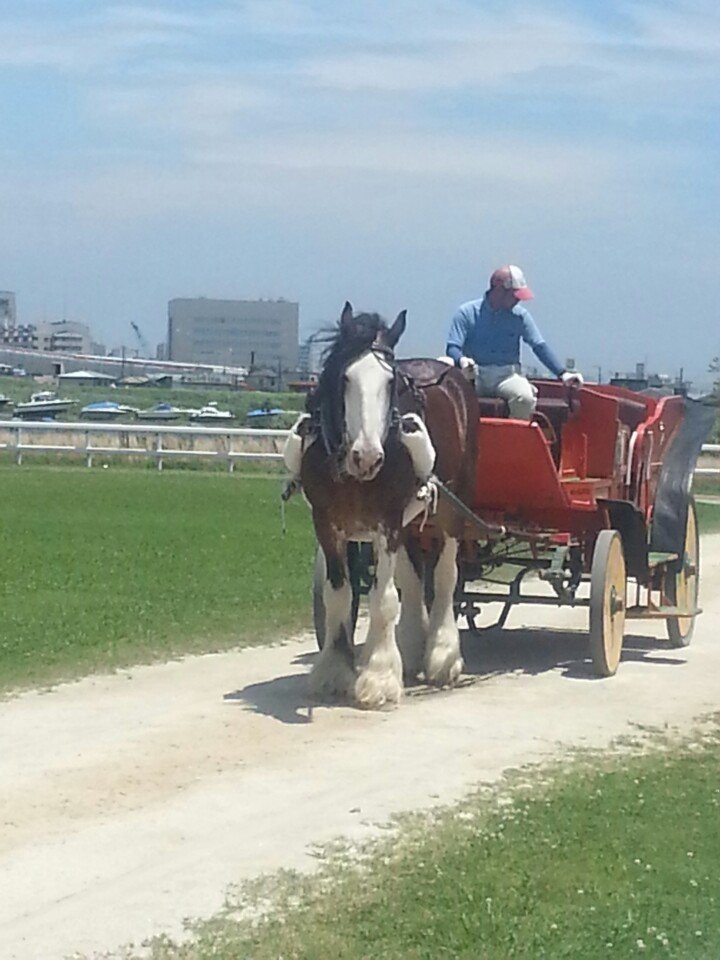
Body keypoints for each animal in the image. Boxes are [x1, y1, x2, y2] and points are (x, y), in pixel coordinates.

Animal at [286, 304, 478, 708]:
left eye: (392, 384)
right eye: (345, 378)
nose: (368, 456)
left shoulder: (386, 522)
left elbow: (383, 599)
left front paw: (379, 676)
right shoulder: (326, 522)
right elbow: (339, 595)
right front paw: (335, 669)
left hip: (454, 508)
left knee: (445, 577)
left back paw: (442, 654)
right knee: (412, 578)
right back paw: (412, 645)